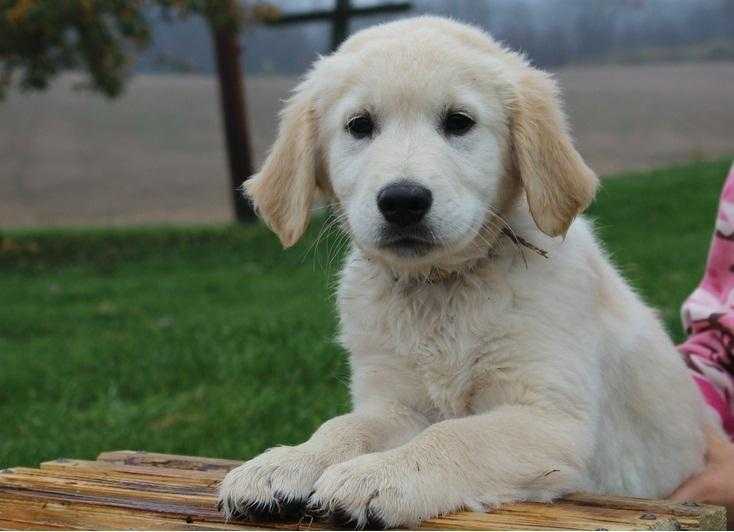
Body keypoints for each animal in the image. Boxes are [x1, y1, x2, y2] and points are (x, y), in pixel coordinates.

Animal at [220, 15, 712, 528]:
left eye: (459, 122)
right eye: (359, 126)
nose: (402, 200)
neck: (441, 288)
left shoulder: (551, 418)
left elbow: (454, 436)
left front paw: (378, 476)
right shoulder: (395, 401)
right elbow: (345, 426)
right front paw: (287, 462)